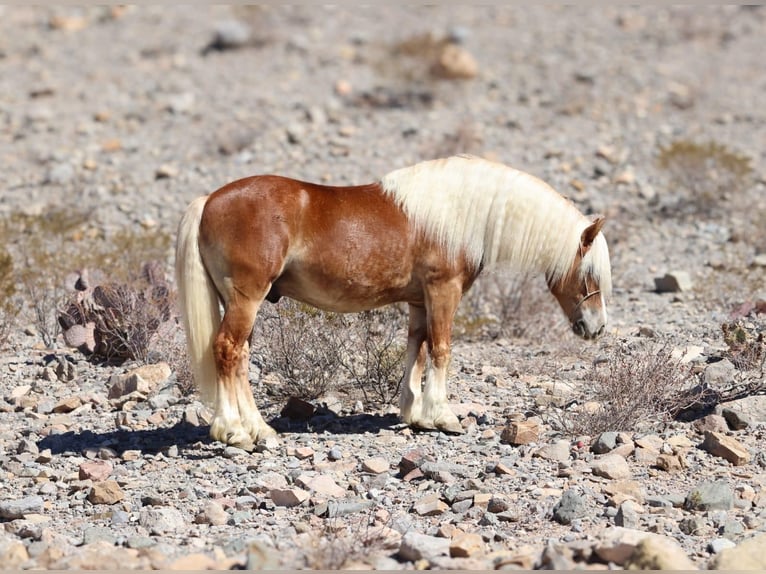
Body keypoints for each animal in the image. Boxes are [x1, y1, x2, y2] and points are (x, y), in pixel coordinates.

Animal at [176, 155, 612, 452]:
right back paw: (234, 432)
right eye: (589, 274)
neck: (458, 211)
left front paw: (415, 413)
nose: (597, 327)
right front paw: (444, 416)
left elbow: (416, 349)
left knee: (240, 358)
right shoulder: (443, 291)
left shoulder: (420, 301)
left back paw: (260, 429)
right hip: (246, 300)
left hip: (241, 304)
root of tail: (209, 200)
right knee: (227, 351)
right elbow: (441, 349)